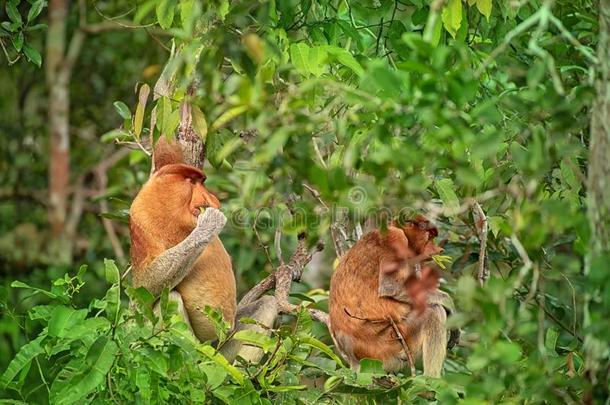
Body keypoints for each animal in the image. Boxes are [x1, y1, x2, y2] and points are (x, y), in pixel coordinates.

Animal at [328, 216, 452, 378]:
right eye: (429, 236)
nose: (438, 249)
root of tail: (353, 357)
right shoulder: (395, 238)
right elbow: (390, 287)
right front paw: (449, 302)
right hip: (389, 345)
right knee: (433, 313)